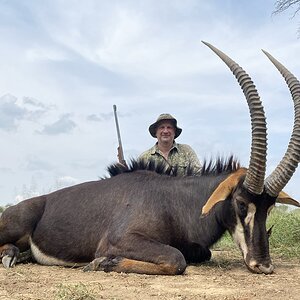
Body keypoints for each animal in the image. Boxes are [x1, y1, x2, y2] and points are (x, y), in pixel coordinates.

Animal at [0, 42, 300, 276]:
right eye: (241, 203)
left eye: (270, 207)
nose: (263, 265)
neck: (175, 203)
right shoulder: (121, 239)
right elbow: (177, 259)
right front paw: (101, 262)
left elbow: (197, 254)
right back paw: (10, 255)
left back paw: (16, 255)